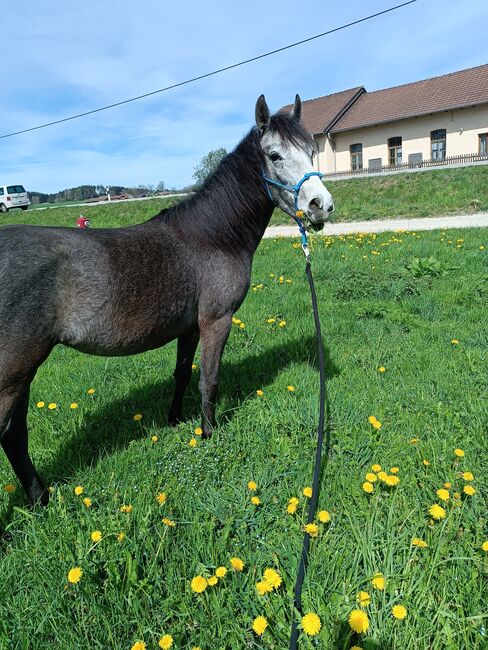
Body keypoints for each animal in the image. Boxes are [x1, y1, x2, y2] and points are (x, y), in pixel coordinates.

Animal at [0, 93, 336, 504]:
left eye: (312, 151)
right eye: (274, 155)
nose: (322, 205)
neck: (211, 236)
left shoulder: (189, 327)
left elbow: (182, 374)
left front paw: (174, 421)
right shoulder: (216, 320)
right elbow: (209, 379)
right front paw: (208, 434)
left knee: (14, 435)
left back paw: (40, 498)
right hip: (15, 369)